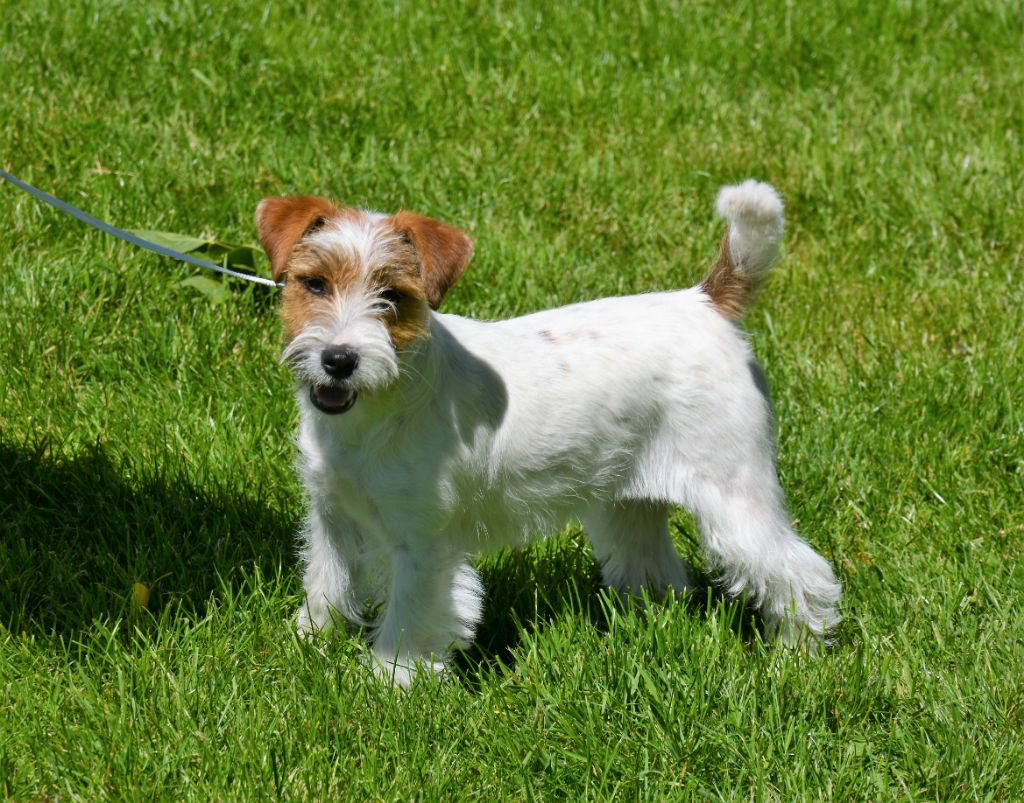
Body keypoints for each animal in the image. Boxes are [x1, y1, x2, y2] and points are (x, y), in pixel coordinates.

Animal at [255, 180, 841, 684]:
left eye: (392, 296)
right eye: (314, 284)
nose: (339, 360)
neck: (380, 405)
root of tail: (705, 302)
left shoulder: (423, 546)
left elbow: (410, 622)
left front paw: (391, 683)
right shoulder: (332, 517)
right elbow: (326, 587)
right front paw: (309, 642)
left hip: (734, 500)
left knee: (800, 572)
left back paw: (796, 655)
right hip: (630, 505)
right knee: (659, 572)